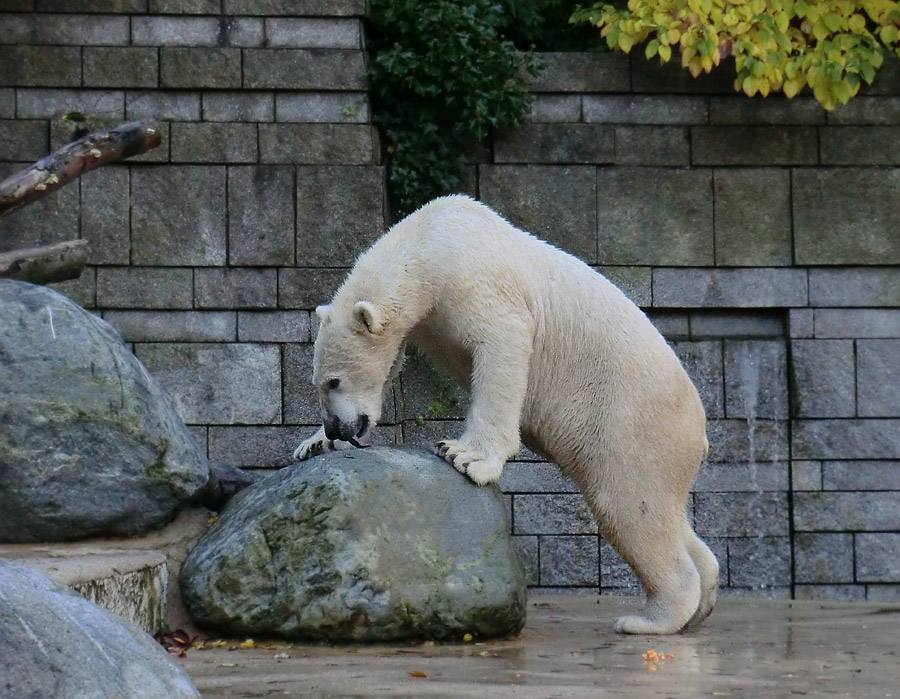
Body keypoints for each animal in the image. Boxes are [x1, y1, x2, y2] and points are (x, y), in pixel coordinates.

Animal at [292, 194, 720, 636]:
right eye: (317, 383)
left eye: (334, 381)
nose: (337, 427)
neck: (435, 241)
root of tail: (700, 429)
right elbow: (394, 362)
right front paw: (313, 443)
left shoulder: (480, 283)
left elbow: (501, 346)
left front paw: (465, 455)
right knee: (665, 512)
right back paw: (701, 601)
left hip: (633, 422)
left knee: (629, 506)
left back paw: (647, 620)